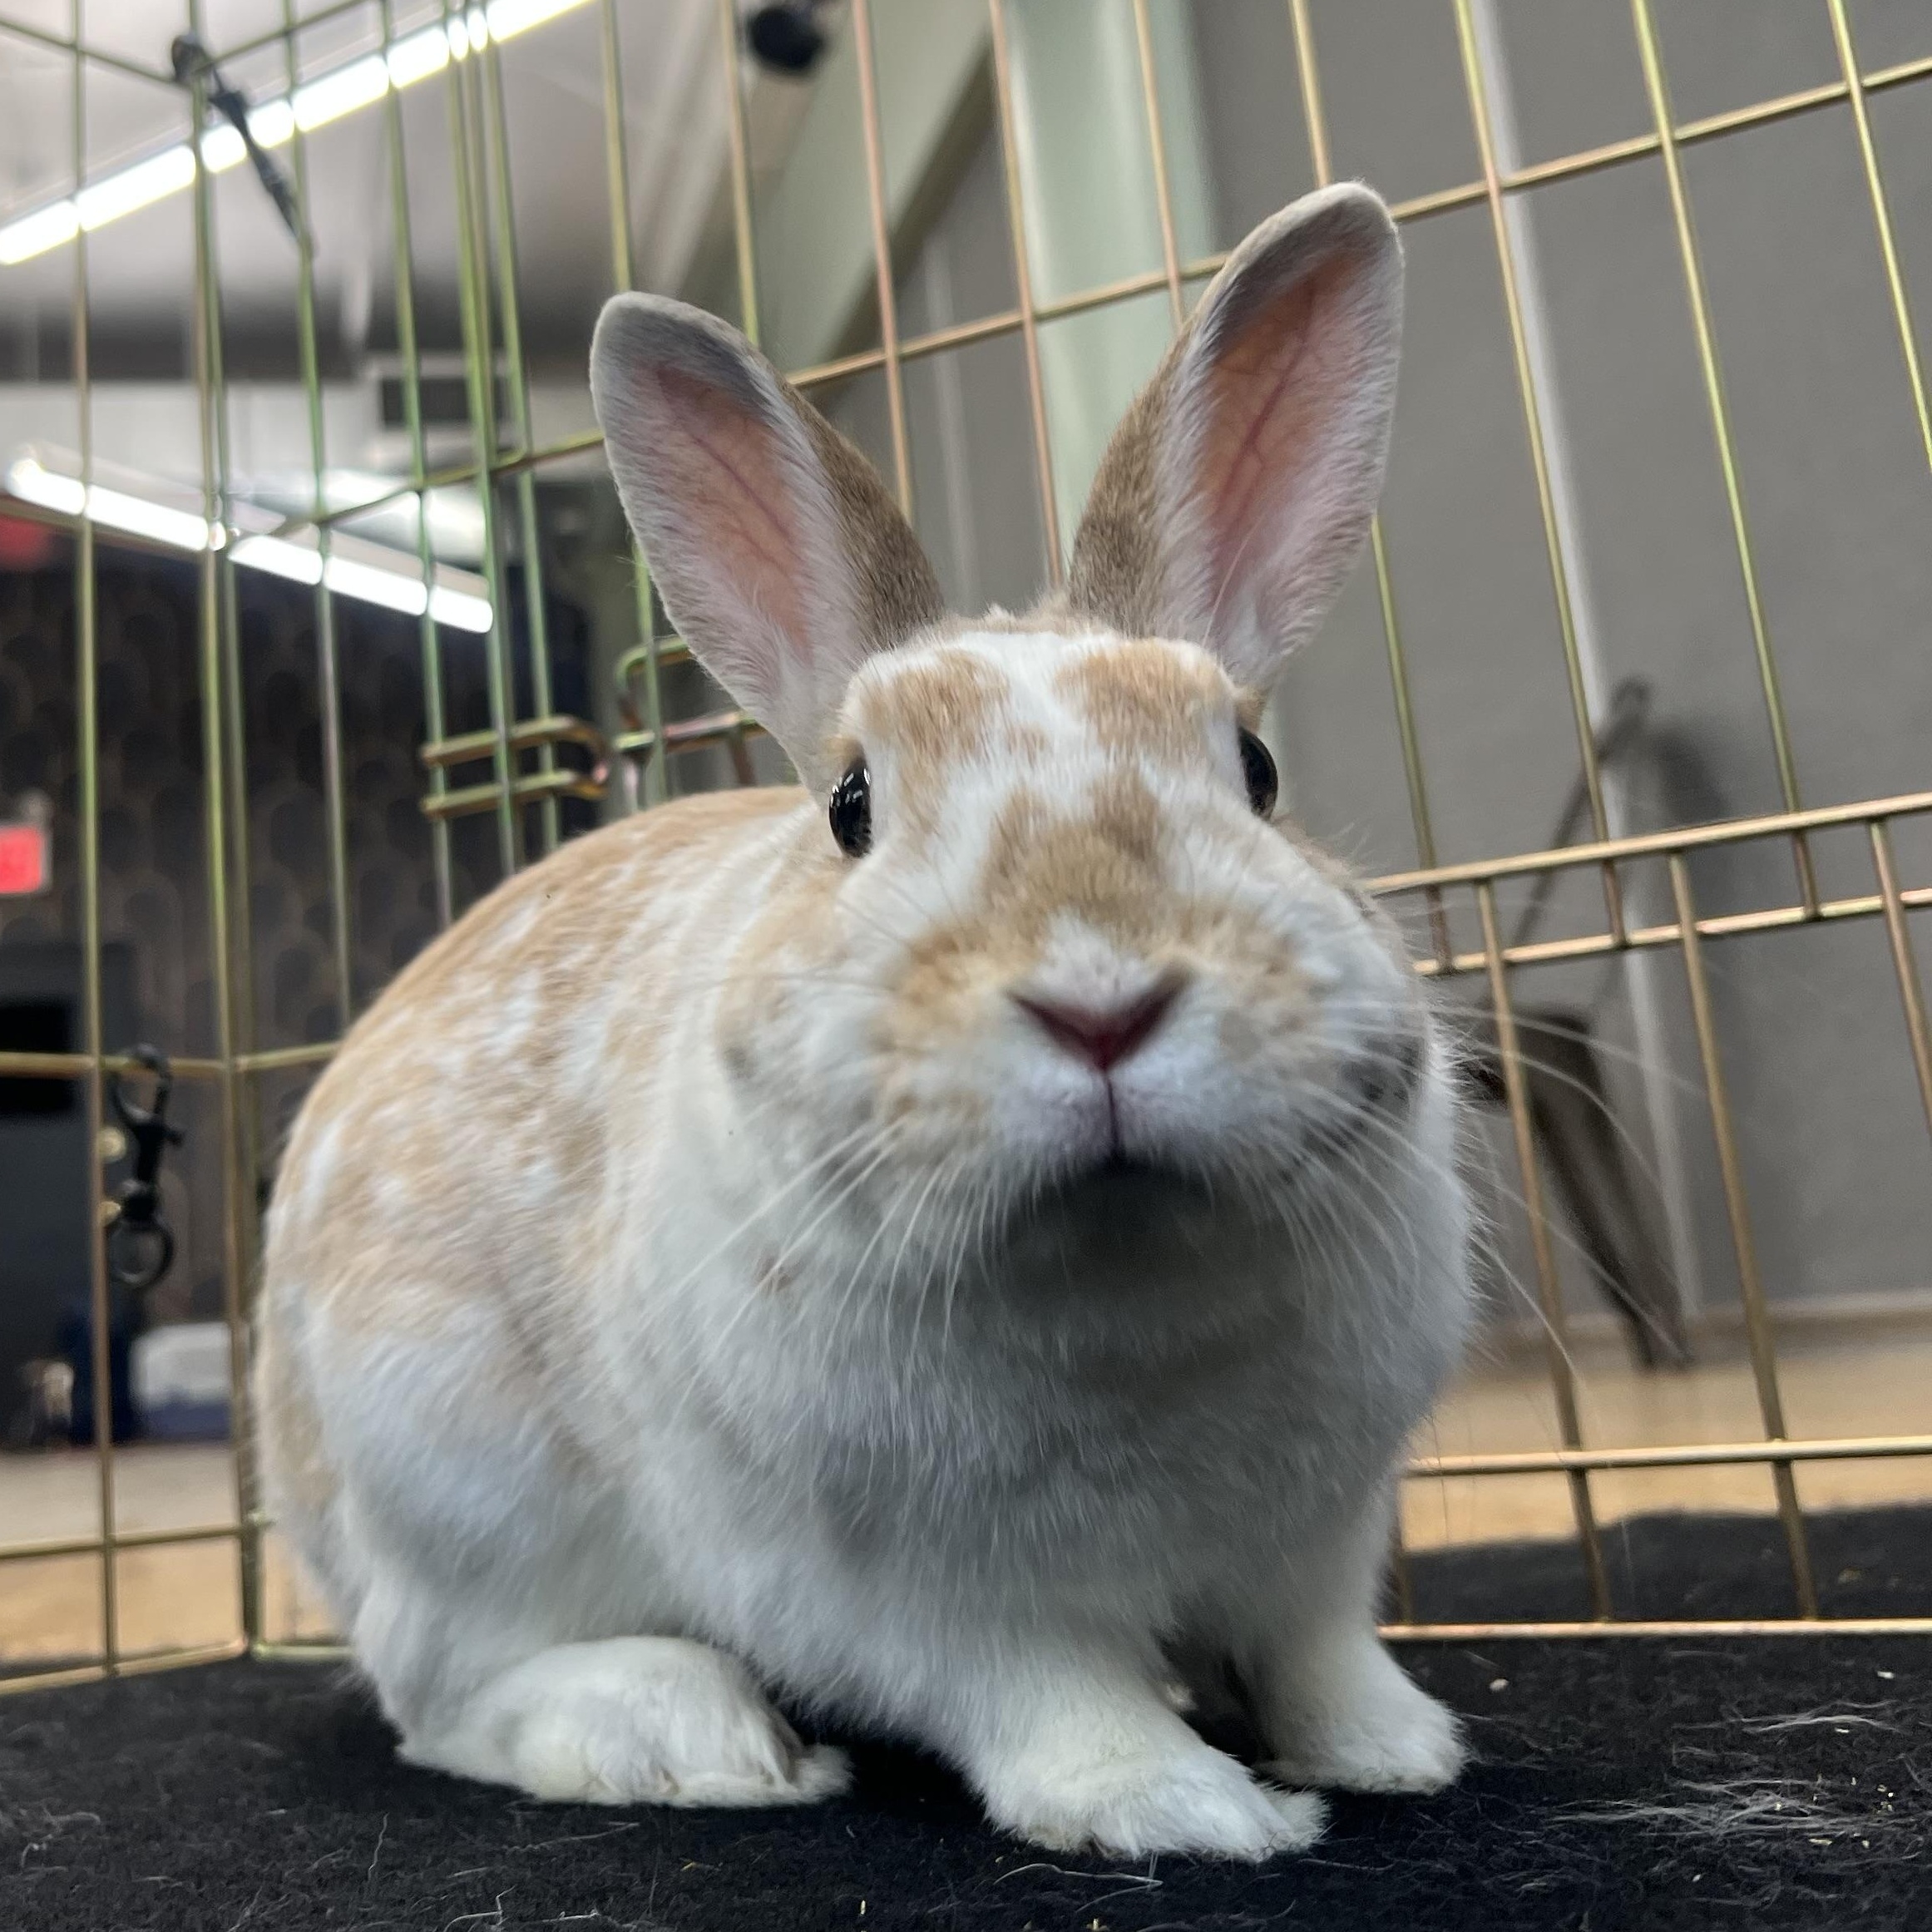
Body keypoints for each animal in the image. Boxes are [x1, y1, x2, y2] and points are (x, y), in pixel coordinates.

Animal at [254, 181, 1473, 1862]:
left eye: (1255, 769)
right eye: (849, 806)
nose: (1100, 998)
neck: (1118, 1276)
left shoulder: (1316, 1541)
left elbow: (1317, 1654)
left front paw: (1396, 1752)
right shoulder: (913, 1593)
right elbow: (1045, 1697)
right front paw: (1184, 1809)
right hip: (445, 1489)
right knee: (441, 1695)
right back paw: (690, 1733)